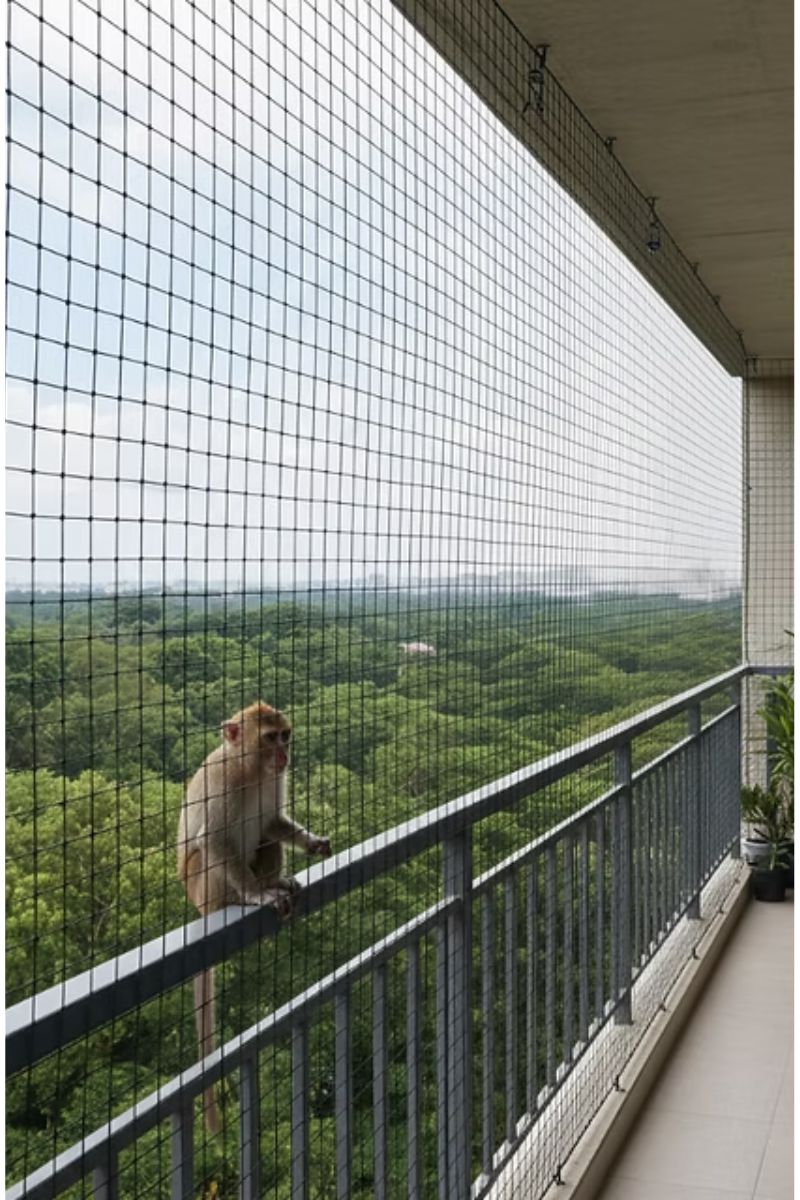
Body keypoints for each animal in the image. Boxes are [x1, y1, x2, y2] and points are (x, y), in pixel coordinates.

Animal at [177, 701, 331, 1133]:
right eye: (269, 738)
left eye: (285, 735)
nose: (284, 754)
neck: (250, 770)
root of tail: (200, 909)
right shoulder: (222, 782)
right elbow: (212, 839)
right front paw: (254, 895)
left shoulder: (273, 782)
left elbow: (272, 823)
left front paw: (310, 842)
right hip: (203, 887)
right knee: (208, 854)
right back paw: (248, 896)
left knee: (263, 836)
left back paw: (277, 881)